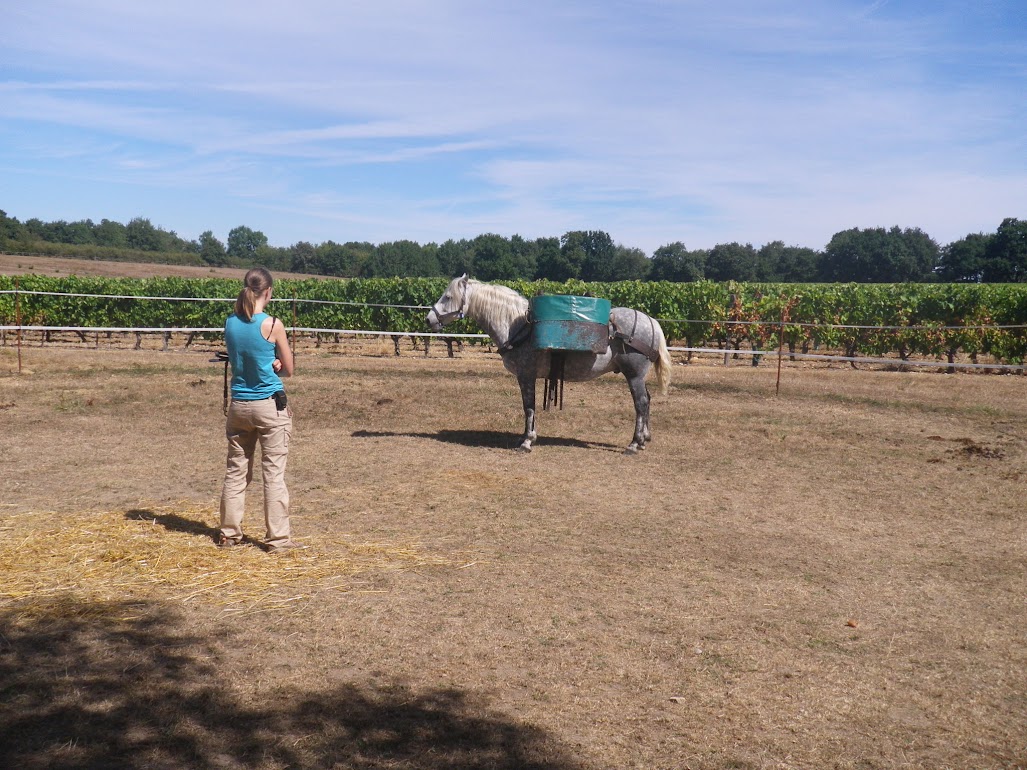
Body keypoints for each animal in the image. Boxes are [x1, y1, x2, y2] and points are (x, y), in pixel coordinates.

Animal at [427, 277, 673, 455]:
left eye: (448, 296)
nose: (429, 319)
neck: (518, 327)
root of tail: (651, 322)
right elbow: (529, 407)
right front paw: (526, 436)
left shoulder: (526, 375)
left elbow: (529, 407)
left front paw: (527, 441)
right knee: (647, 401)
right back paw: (644, 439)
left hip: (634, 375)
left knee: (641, 404)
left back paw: (634, 444)